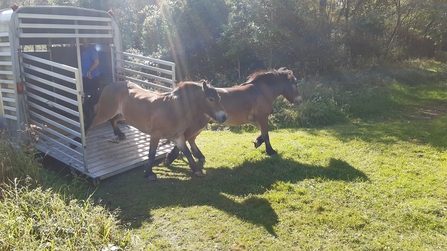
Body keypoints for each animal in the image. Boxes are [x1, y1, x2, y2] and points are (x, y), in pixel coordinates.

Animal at [83, 80, 228, 180]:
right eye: (211, 99)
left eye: (219, 98)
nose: (224, 116)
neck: (173, 109)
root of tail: (108, 85)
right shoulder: (155, 135)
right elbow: (152, 154)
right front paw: (149, 173)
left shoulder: (178, 137)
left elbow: (186, 152)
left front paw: (197, 170)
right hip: (105, 113)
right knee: (90, 123)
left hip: (122, 115)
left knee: (113, 120)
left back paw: (120, 134)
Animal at [166, 67, 302, 166]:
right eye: (295, 85)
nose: (299, 101)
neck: (261, 91)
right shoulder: (262, 117)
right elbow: (266, 135)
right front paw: (271, 151)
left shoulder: (254, 120)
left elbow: (262, 134)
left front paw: (257, 142)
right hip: (197, 124)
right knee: (186, 138)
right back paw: (170, 158)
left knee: (191, 139)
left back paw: (199, 156)